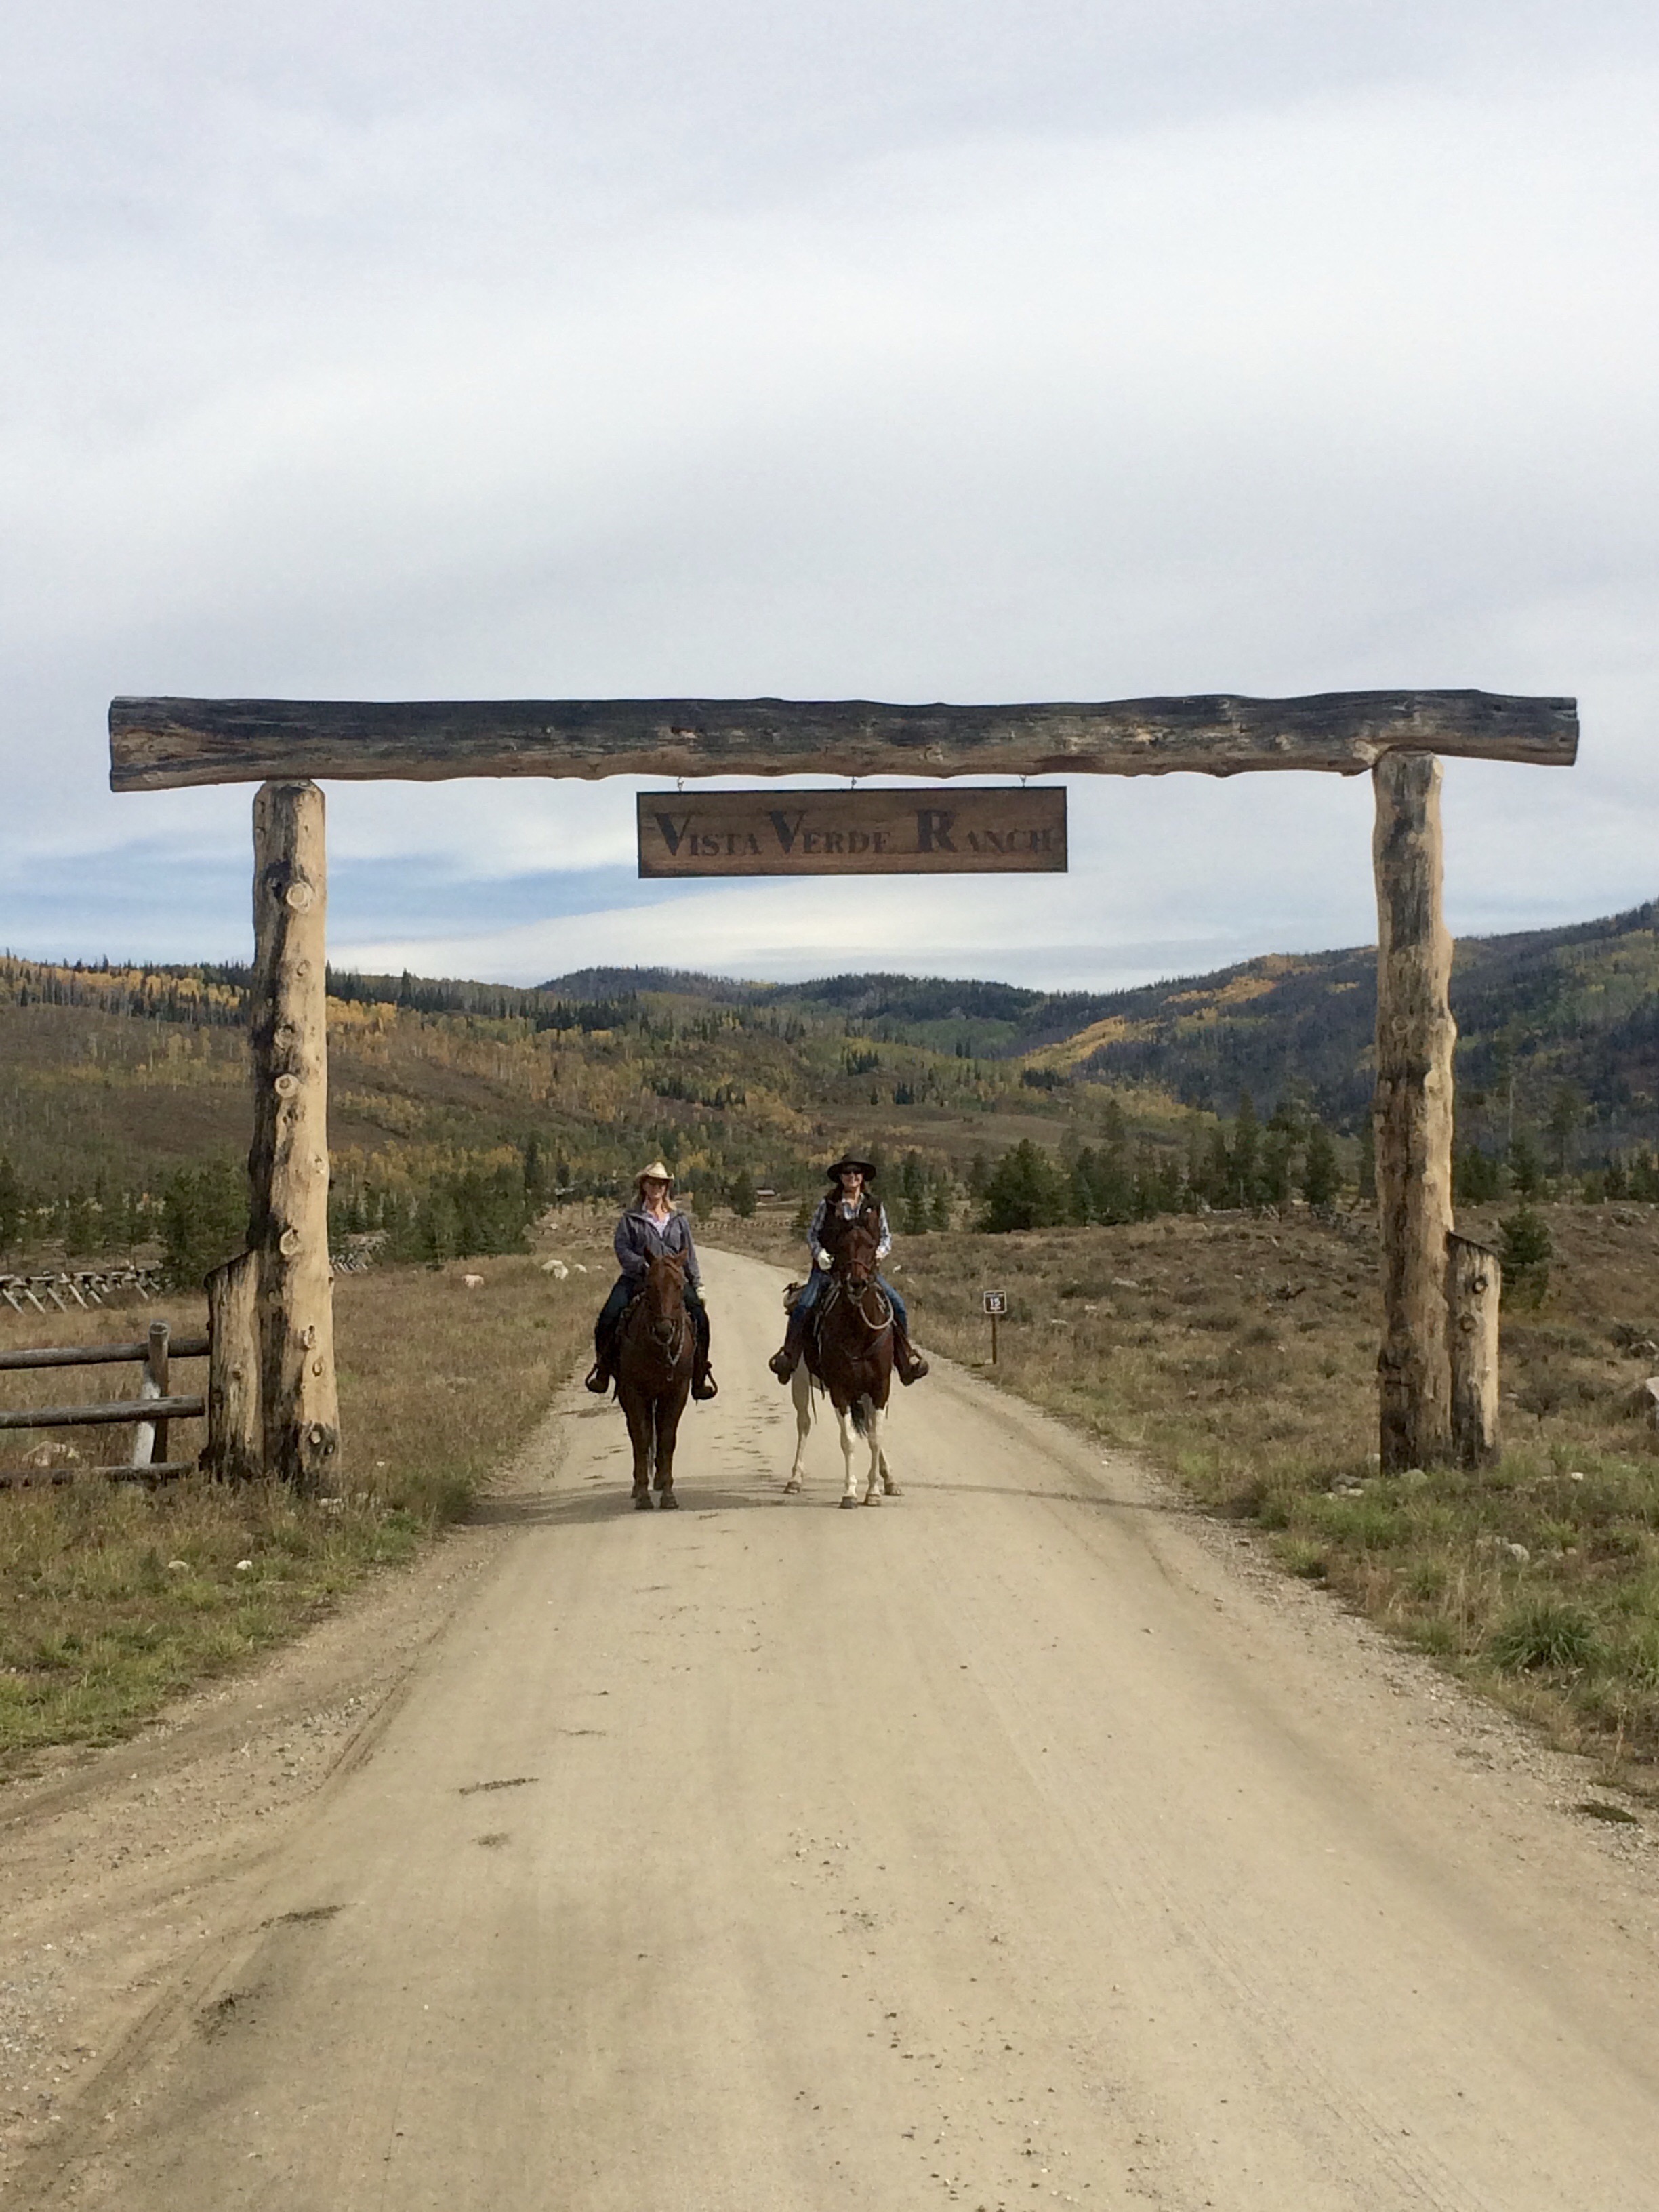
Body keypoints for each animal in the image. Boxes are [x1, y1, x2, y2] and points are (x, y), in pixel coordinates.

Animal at [614, 1251, 694, 1510]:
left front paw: (668, 1493)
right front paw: (642, 1494)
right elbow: (641, 1437)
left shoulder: (677, 1391)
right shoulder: (634, 1392)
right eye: (649, 1285)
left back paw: (658, 1480)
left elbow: (667, 1437)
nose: (663, 1330)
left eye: (680, 1285)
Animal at [790, 1211, 897, 1508]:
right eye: (841, 1247)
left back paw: (889, 1479)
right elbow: (848, 1439)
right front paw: (850, 1492)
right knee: (803, 1424)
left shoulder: (880, 1388)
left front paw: (874, 1491)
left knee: (872, 1428)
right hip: (799, 1382)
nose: (857, 1283)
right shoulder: (840, 1390)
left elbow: (876, 1437)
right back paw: (795, 1479)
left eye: (871, 1246)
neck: (858, 1330)